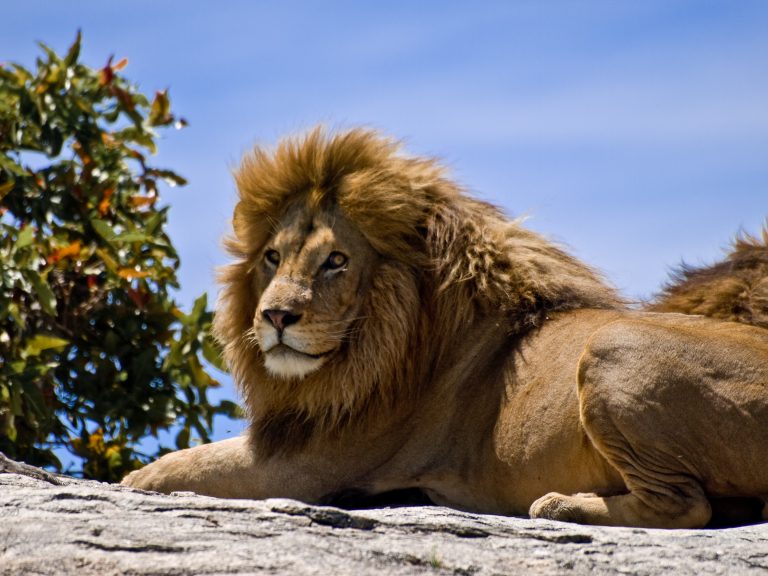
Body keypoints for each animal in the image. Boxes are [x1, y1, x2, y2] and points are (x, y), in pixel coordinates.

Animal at [122, 127, 768, 529]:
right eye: (273, 258)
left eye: (336, 261)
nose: (276, 316)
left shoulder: (305, 465)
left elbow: (176, 467)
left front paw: (131, 479)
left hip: (611, 346)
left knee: (686, 506)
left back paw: (560, 506)